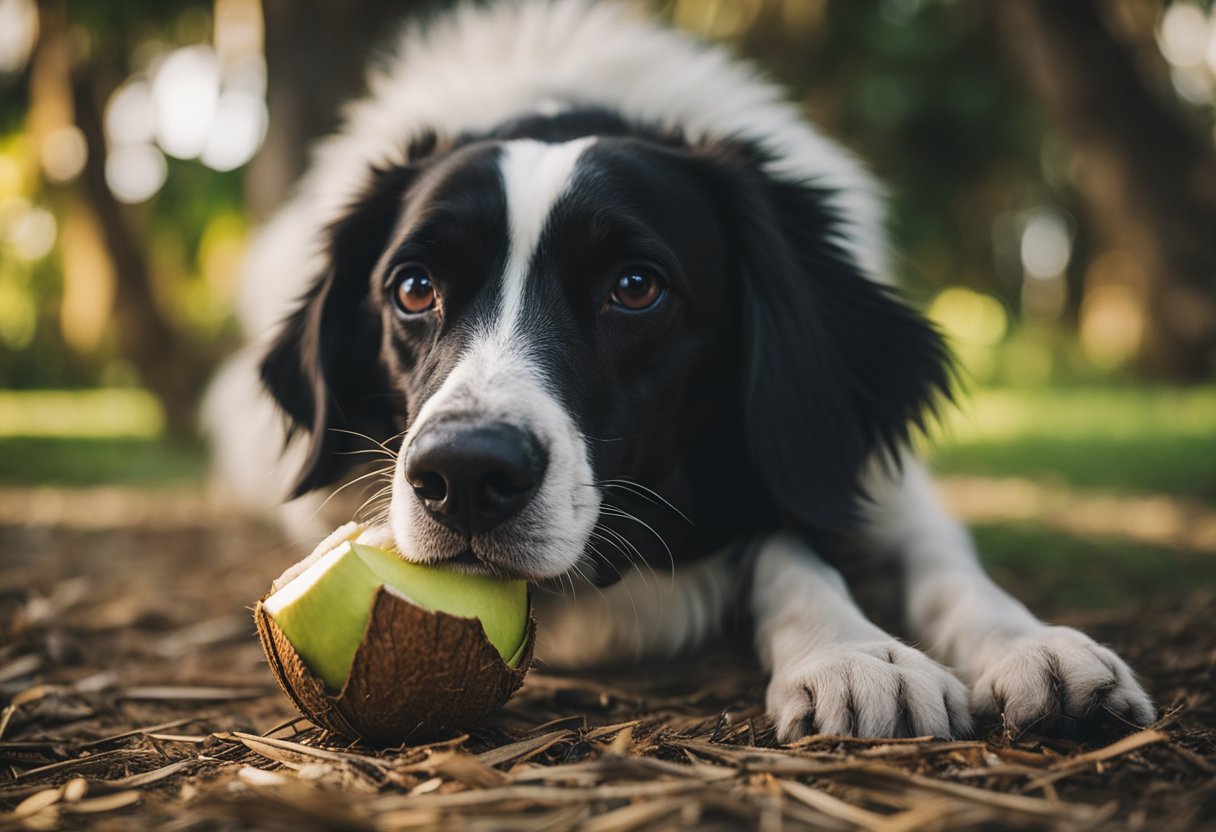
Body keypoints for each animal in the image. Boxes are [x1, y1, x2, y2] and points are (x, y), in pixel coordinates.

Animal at [204, 0, 1152, 739]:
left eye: (635, 287)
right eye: (413, 288)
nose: (464, 475)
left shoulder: (860, 470)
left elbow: (915, 560)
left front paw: (1002, 644)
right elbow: (780, 548)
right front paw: (855, 650)